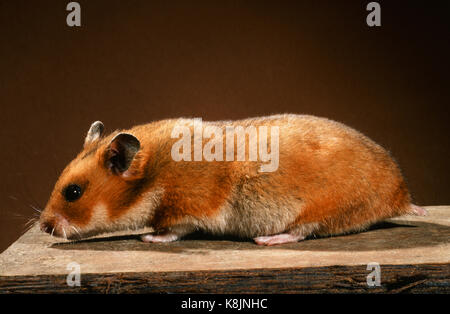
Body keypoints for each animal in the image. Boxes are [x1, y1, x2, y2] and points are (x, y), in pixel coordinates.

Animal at [39, 114, 426, 247]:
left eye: (73, 192)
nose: (43, 226)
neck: (152, 176)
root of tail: (401, 194)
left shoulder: (189, 208)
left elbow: (174, 230)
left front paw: (149, 237)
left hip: (324, 208)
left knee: (303, 231)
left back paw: (267, 240)